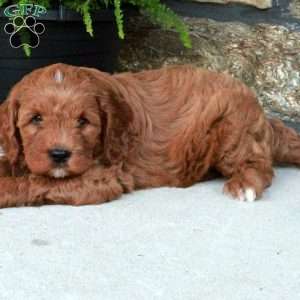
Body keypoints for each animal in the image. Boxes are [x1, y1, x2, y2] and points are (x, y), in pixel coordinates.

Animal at [0, 63, 300, 207]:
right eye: (36, 119)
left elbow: (33, 181)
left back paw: (243, 185)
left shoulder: (102, 177)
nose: (60, 155)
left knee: (260, 165)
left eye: (83, 121)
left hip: (232, 129)